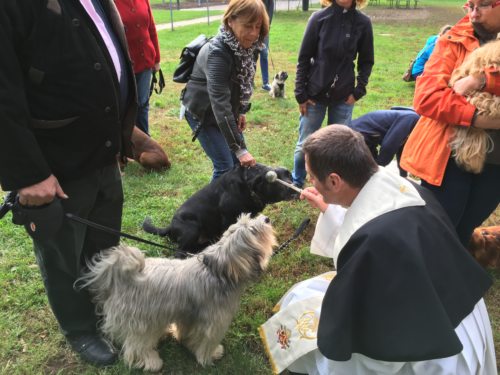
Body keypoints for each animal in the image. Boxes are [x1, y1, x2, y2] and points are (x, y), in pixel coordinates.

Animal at [77, 214, 278, 374]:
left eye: (249, 219)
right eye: (253, 230)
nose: (267, 219)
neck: (217, 269)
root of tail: (122, 277)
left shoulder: (189, 314)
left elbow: (187, 331)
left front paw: (184, 340)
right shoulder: (214, 322)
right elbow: (206, 342)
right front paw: (210, 355)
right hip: (144, 322)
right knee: (135, 347)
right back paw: (151, 362)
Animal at [142, 164, 296, 256]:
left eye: (289, 175)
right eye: (275, 181)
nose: (294, 188)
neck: (248, 186)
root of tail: (170, 227)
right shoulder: (228, 219)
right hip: (191, 229)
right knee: (179, 253)